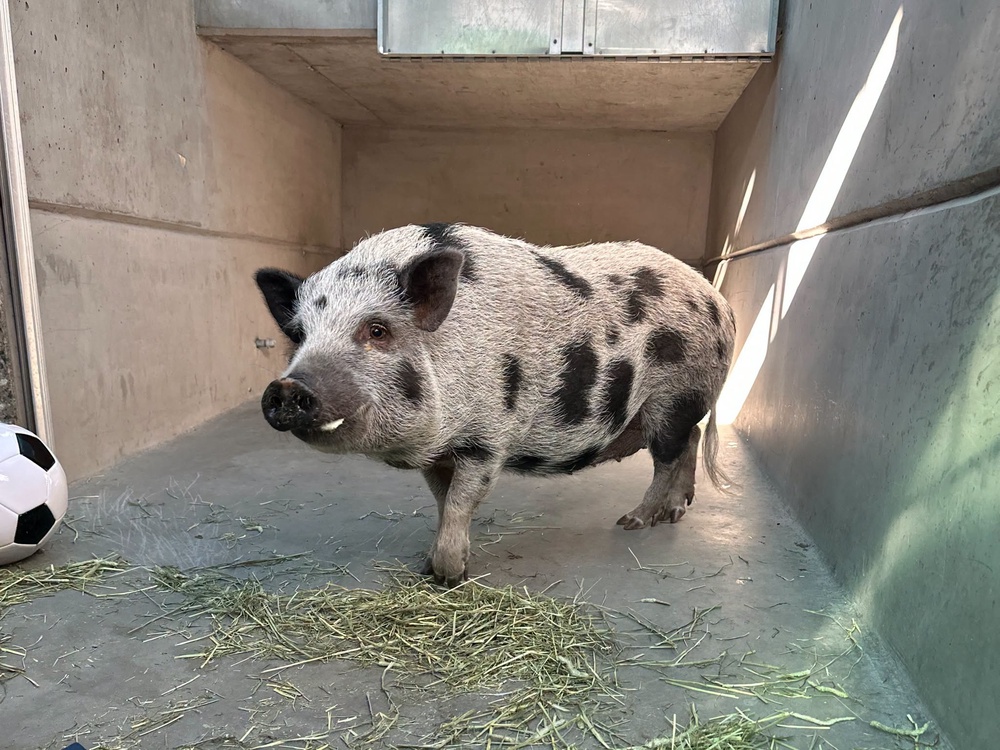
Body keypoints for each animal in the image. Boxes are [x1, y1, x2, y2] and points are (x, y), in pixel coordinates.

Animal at [254, 223, 735, 586]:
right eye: (298, 335)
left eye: (377, 330)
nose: (286, 388)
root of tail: (719, 301)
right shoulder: (437, 453)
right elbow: (443, 503)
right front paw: (428, 566)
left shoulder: (486, 440)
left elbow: (462, 502)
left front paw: (449, 577)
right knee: (689, 440)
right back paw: (676, 511)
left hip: (675, 394)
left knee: (668, 454)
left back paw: (634, 521)